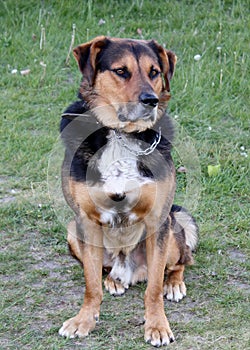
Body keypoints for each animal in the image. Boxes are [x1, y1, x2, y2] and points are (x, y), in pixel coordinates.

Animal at [58, 36, 197, 348]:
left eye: (154, 72)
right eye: (121, 71)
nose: (151, 101)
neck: (121, 136)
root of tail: (131, 271)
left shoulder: (158, 220)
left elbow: (153, 289)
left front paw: (157, 325)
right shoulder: (85, 220)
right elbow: (90, 285)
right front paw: (84, 320)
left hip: (173, 228)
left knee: (182, 261)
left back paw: (174, 284)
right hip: (73, 231)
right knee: (103, 270)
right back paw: (114, 280)